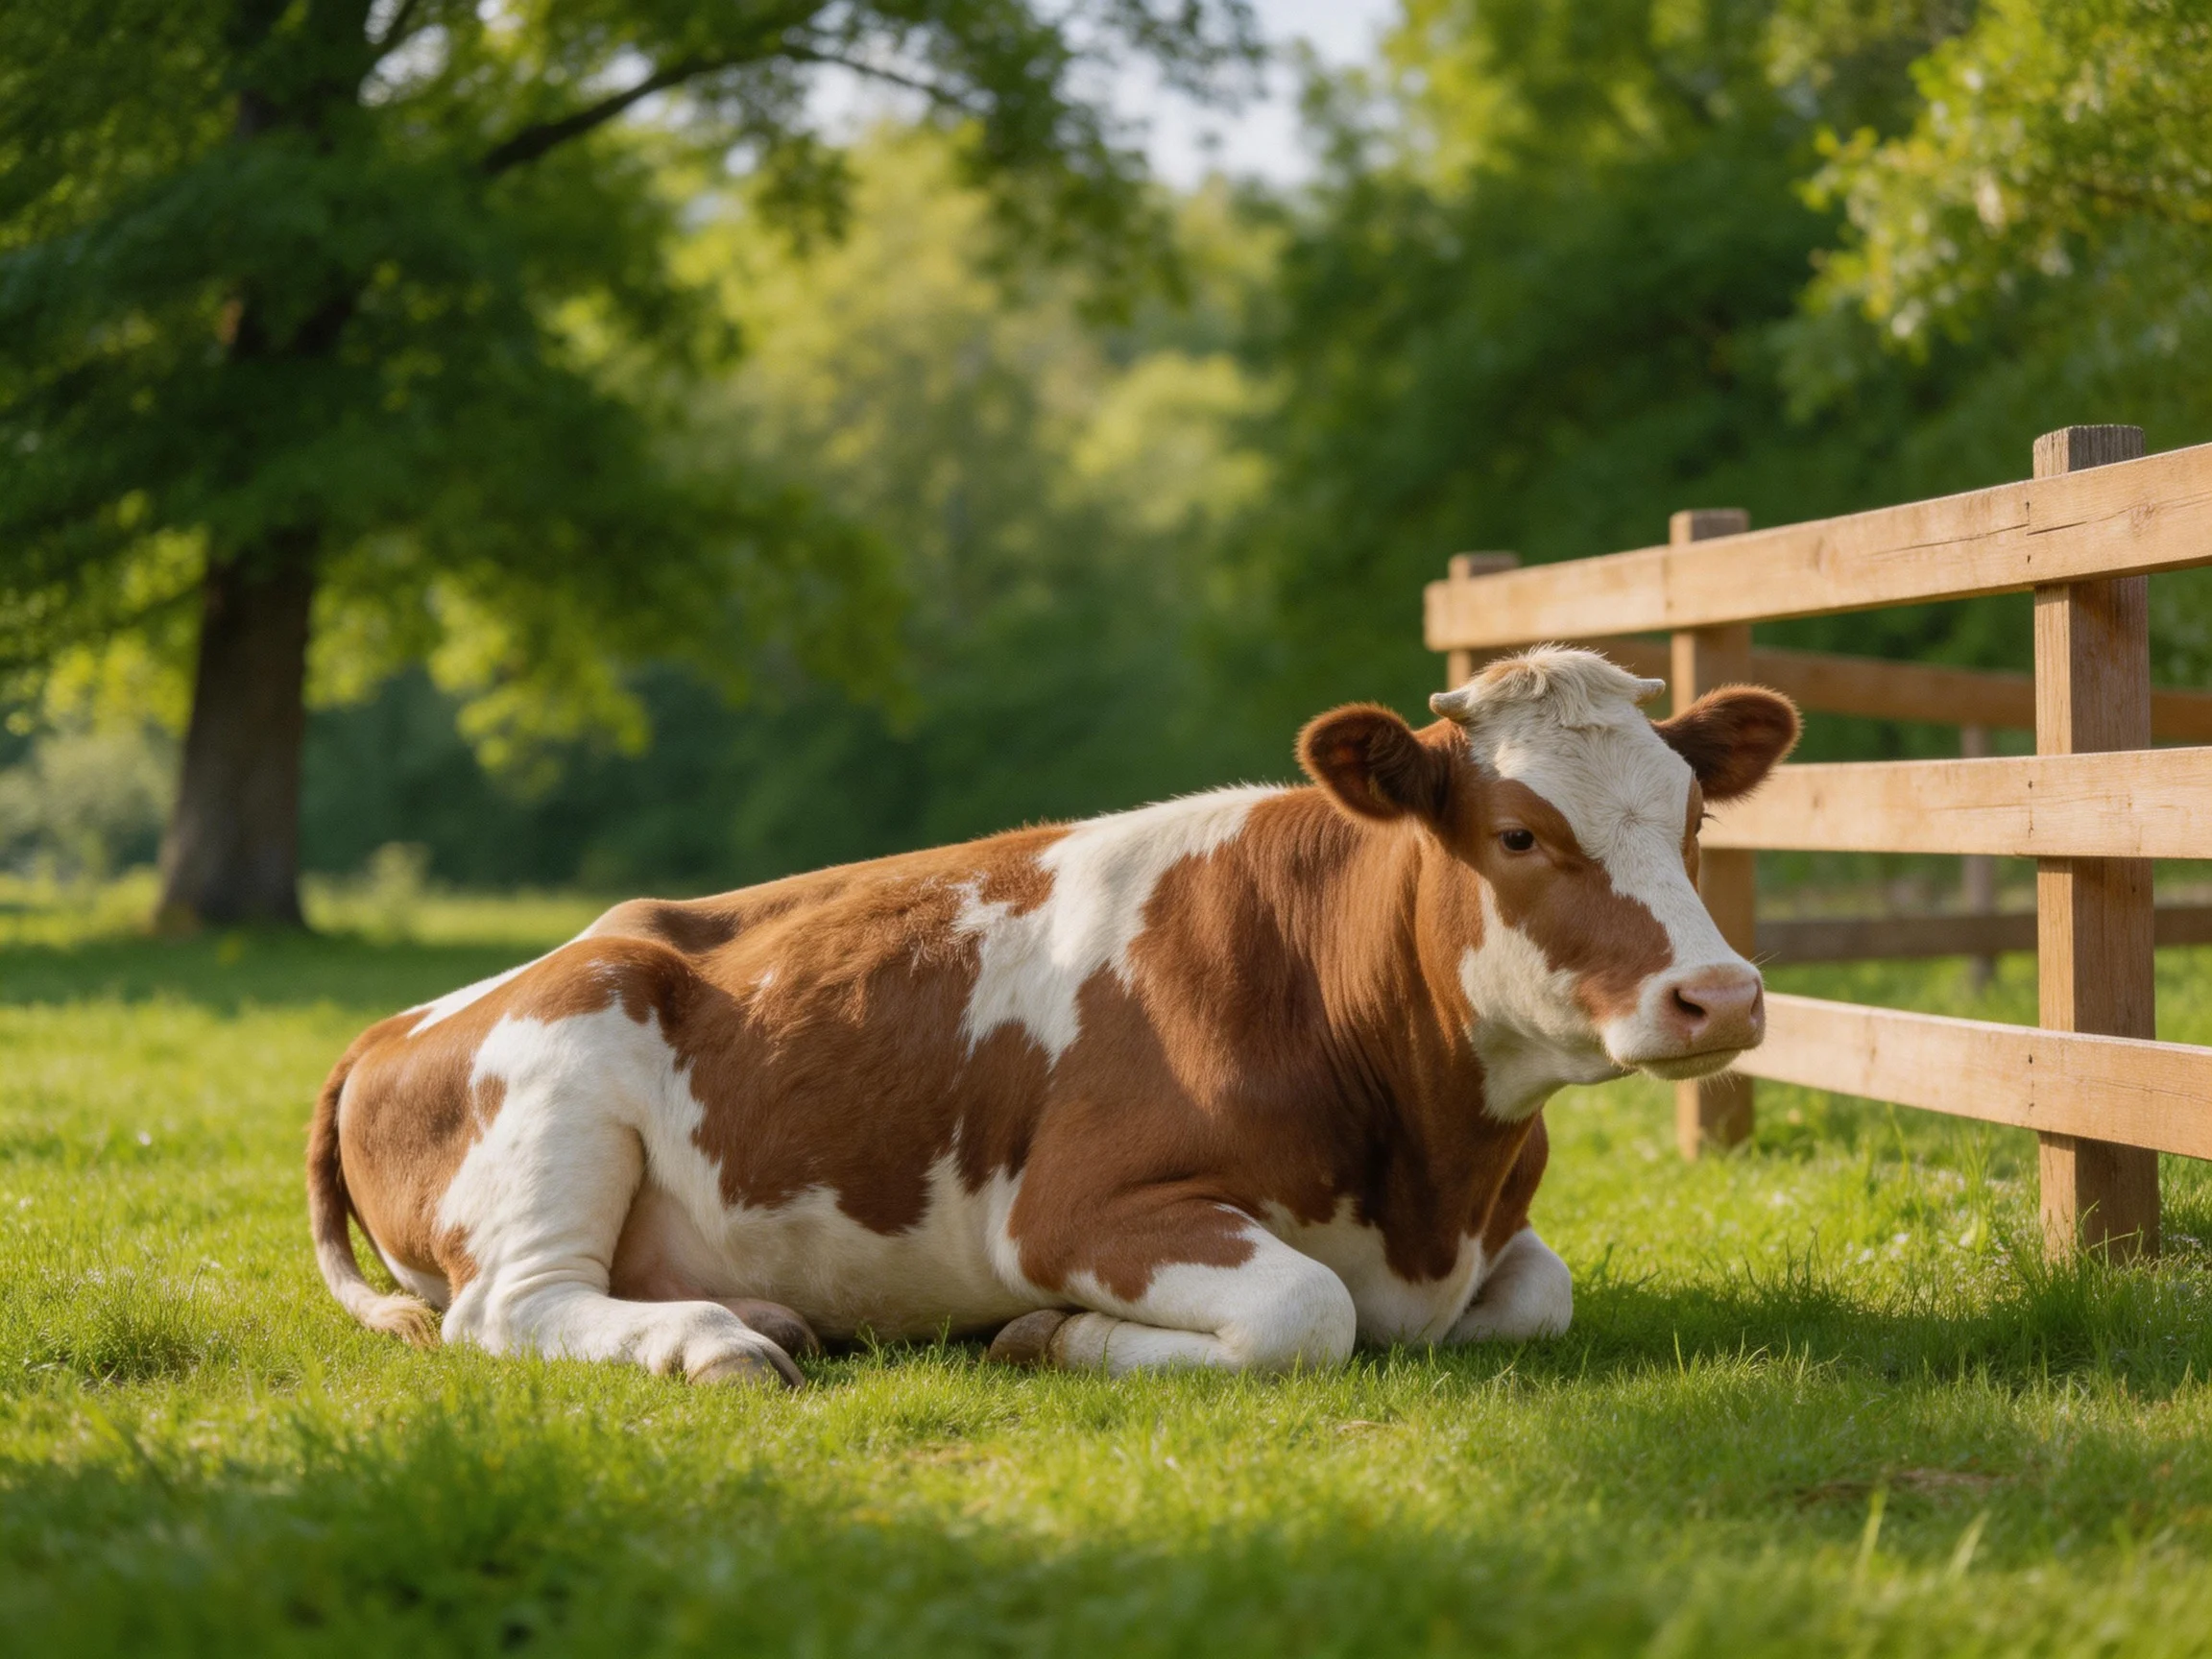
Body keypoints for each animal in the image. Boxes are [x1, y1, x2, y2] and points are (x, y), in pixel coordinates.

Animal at [307, 648, 1797, 1386]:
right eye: (1518, 833)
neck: (1428, 1168)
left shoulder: (1493, 1235)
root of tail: (394, 1024)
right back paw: (717, 1344)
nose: (1722, 993)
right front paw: (1048, 1336)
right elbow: (1306, 1313)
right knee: (513, 1308)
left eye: (1692, 817)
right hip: (562, 1083)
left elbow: (1540, 1294)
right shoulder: (1078, 1209)